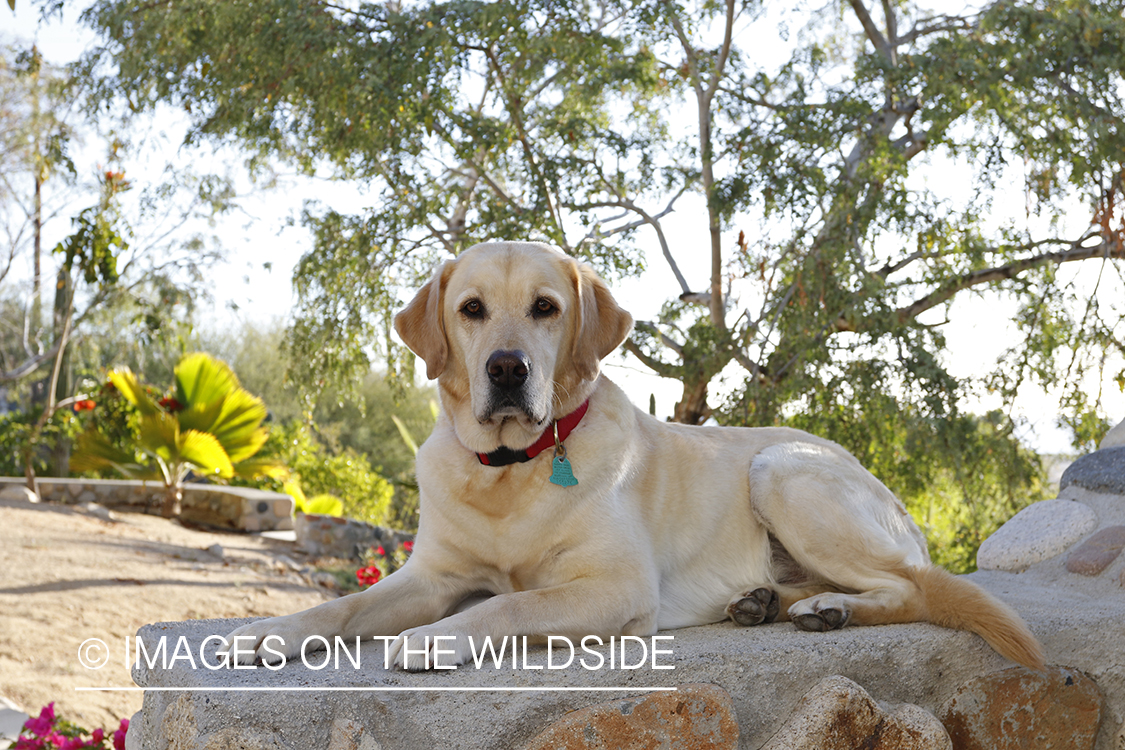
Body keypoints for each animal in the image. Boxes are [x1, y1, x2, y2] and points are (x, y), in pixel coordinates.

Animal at [226, 244, 1044, 670]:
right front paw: (274, 633)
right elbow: (343, 604)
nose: (506, 369)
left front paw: (434, 640)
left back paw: (827, 609)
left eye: (546, 308)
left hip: (779, 469)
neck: (512, 470)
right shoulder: (430, 575)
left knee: (910, 588)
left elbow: (511, 601)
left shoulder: (615, 586)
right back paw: (767, 602)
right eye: (471, 310)